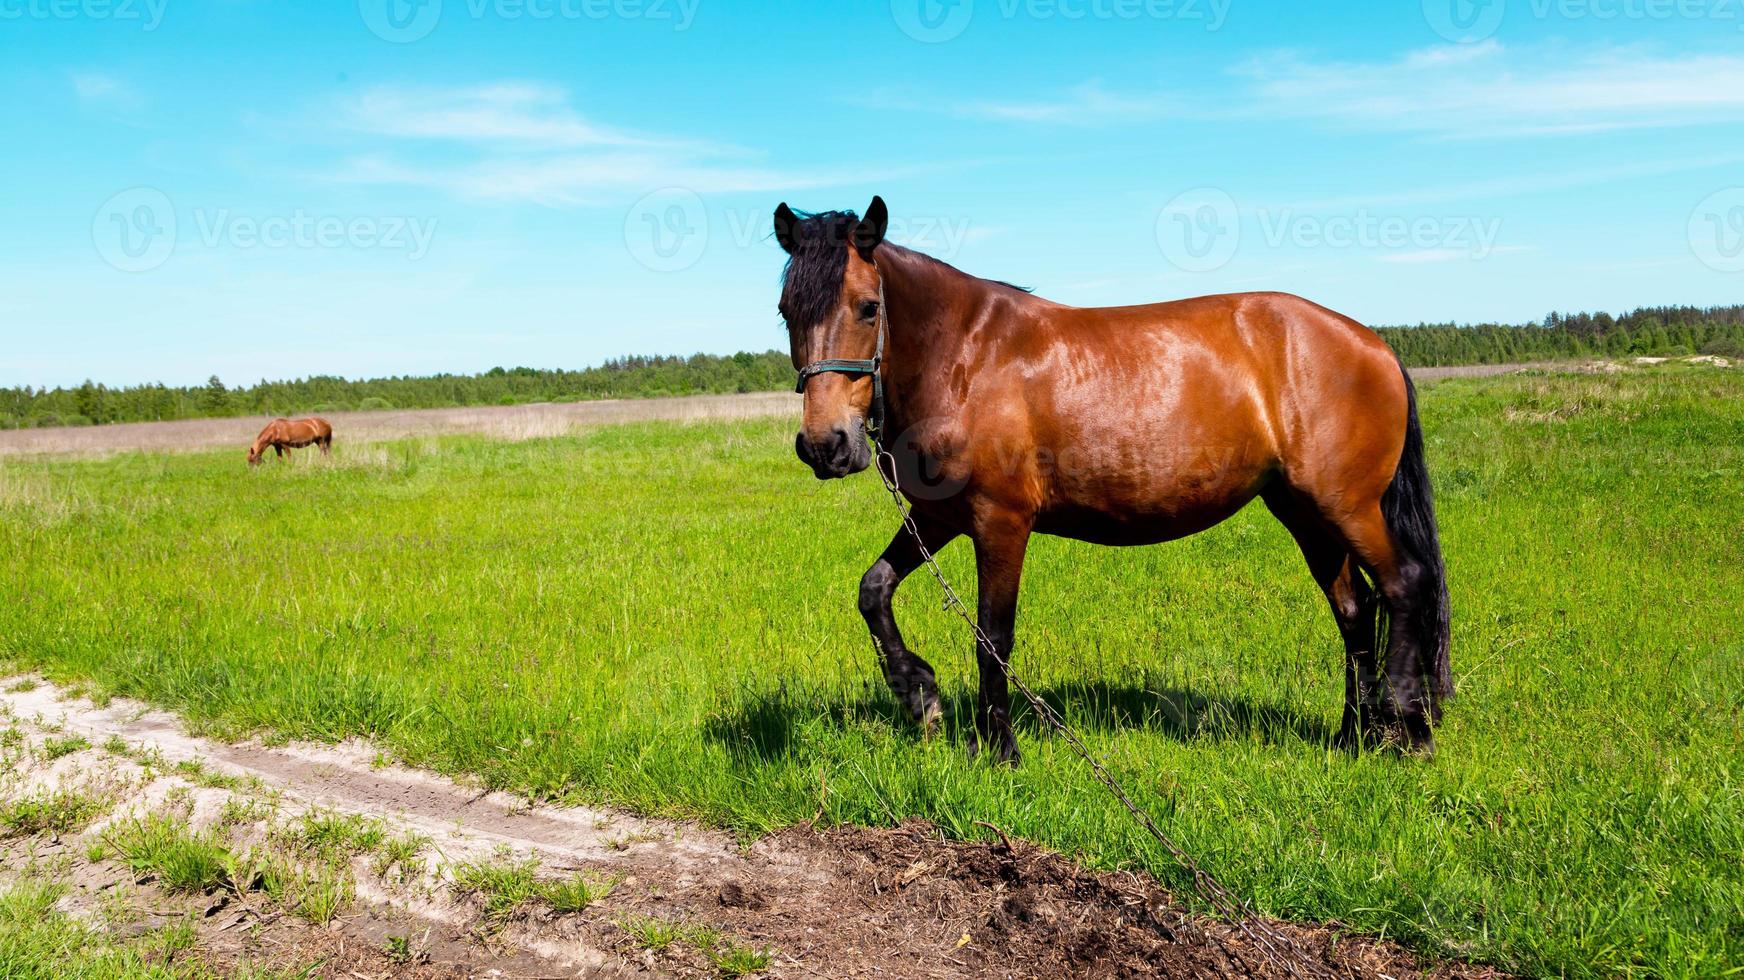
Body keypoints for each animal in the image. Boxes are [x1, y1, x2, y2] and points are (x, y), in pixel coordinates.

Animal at [784, 198, 1451, 763]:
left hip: (1346, 507)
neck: (967, 358)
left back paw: (1405, 725)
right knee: (1354, 610)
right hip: (1305, 512)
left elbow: (992, 635)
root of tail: (1374, 345)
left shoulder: (1001, 523)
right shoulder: (937, 518)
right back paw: (1351, 737)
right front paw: (918, 693)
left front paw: (1000, 751)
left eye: (868, 307)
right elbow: (873, 590)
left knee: (1405, 584)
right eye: (787, 311)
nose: (825, 445)